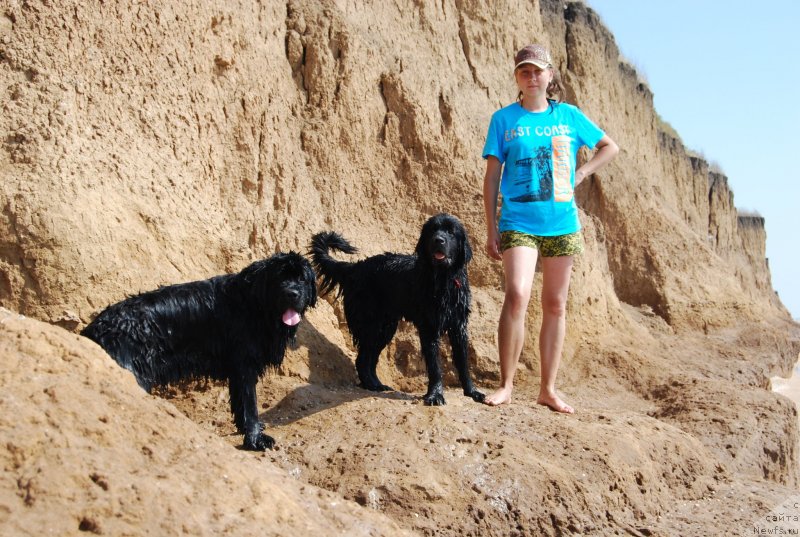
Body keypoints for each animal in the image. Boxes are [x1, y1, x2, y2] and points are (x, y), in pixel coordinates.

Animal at [80, 251, 316, 448]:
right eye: (280, 278)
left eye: (302, 279)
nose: (292, 293)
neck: (256, 303)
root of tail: (95, 328)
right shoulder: (244, 366)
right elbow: (250, 406)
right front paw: (255, 439)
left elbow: (241, 404)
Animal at [310, 211, 488, 404]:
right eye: (432, 231)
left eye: (450, 232)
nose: (438, 240)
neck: (443, 280)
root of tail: (355, 267)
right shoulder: (429, 327)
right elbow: (434, 366)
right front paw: (435, 395)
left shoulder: (459, 326)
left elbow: (463, 362)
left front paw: (472, 392)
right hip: (372, 325)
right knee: (363, 359)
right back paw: (372, 385)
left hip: (385, 328)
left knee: (369, 359)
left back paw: (377, 384)